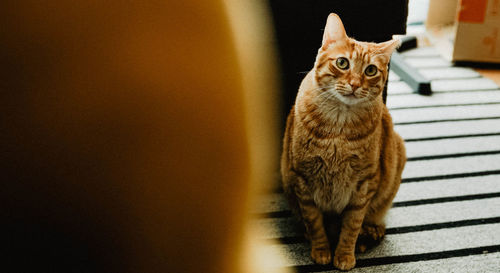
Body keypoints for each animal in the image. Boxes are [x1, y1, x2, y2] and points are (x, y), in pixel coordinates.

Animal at [282, 13, 406, 270]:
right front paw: (321, 251)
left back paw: (369, 233)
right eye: (342, 63)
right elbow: (315, 223)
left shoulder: (364, 184)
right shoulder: (302, 179)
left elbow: (351, 226)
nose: (355, 84)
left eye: (370, 70)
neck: (338, 130)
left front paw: (345, 255)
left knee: (374, 222)